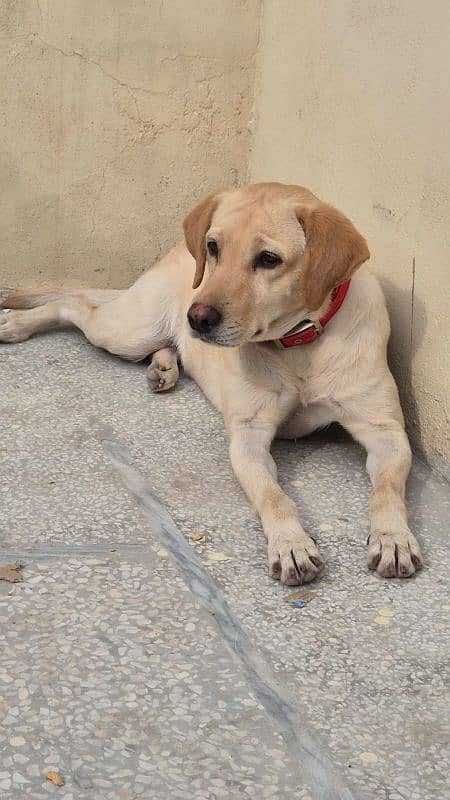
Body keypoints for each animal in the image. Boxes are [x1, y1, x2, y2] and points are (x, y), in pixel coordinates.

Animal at [0, 186, 422, 588]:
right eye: (214, 247)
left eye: (268, 259)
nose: (197, 317)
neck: (300, 348)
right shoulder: (248, 437)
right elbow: (274, 496)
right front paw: (291, 543)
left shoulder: (385, 431)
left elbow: (387, 489)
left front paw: (392, 537)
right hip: (127, 331)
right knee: (75, 303)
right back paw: (17, 323)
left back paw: (163, 367)